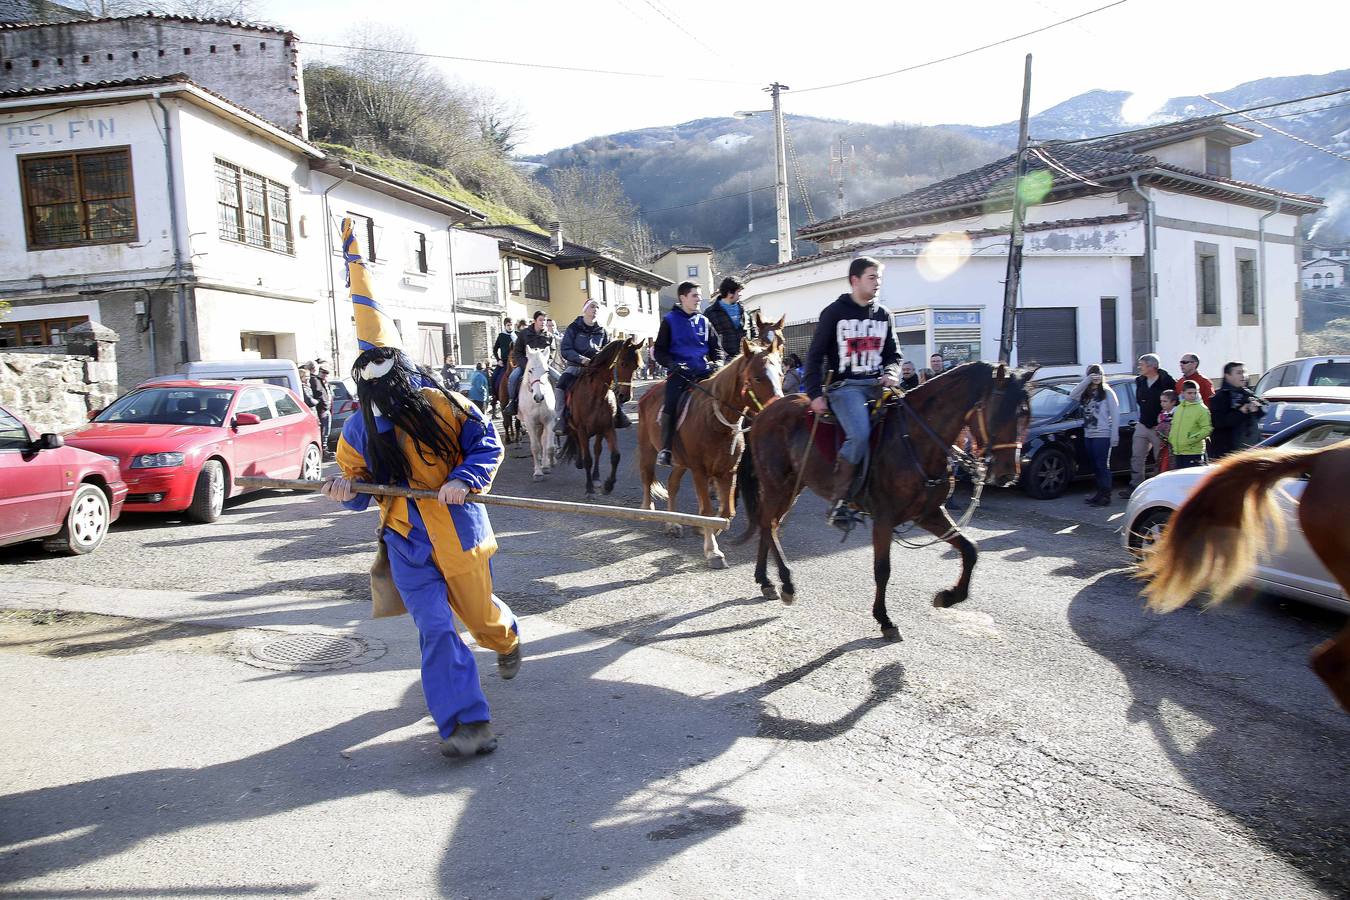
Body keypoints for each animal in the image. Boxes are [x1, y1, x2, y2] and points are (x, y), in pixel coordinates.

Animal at [515, 348, 558, 483]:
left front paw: (548, 465)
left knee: (544, 441)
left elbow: (549, 446)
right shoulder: (530, 423)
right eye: (530, 370)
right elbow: (535, 447)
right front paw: (538, 473)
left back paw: (546, 463)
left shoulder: (550, 421)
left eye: (546, 371)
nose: (538, 397)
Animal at [558, 337, 642, 496]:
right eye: (623, 363)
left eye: (636, 367)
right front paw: (589, 488)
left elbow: (615, 456)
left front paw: (608, 485)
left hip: (598, 431)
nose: (625, 396)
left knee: (596, 449)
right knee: (576, 440)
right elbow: (588, 459)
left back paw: (595, 477)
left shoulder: (607, 427)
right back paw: (580, 463)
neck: (596, 395)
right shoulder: (582, 429)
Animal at [637, 337, 788, 569]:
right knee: (647, 477)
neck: (715, 421)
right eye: (757, 377)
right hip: (649, 449)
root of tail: (648, 394)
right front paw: (713, 551)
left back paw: (673, 523)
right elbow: (707, 511)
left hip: (682, 462)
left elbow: (726, 513)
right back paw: (649, 510)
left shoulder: (727, 472)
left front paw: (706, 530)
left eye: (781, 374)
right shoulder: (700, 471)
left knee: (672, 484)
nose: (778, 411)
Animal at [739, 361, 1031, 644]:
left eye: (1026, 414)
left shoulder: (929, 513)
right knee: (769, 524)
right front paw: (885, 620)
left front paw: (948, 597)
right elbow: (883, 570)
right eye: (1001, 412)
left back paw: (765, 580)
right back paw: (786, 583)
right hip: (777, 484)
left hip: (794, 485)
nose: (1008, 474)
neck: (914, 439)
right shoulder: (884, 518)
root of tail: (764, 411)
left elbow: (970, 549)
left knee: (769, 524)